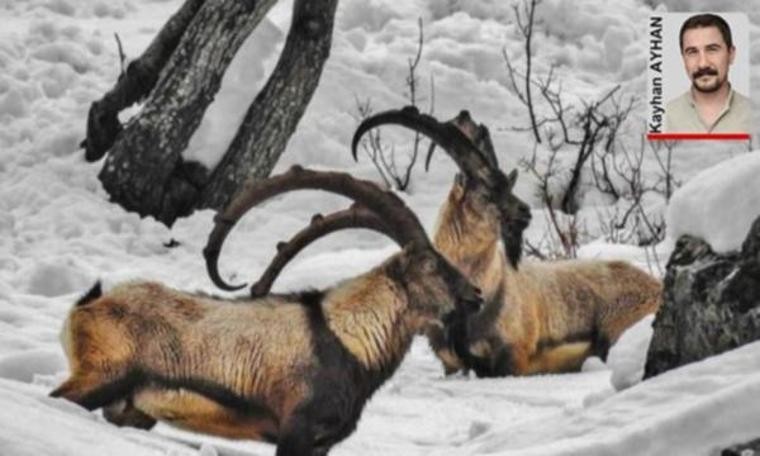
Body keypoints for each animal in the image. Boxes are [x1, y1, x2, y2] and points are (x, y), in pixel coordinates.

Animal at [50, 167, 480, 456]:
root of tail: (90, 304)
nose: (475, 295)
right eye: (431, 265)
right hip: (101, 376)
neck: (345, 336)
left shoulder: (321, 444)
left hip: (131, 408)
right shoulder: (295, 430)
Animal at [348, 107, 660, 378]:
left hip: (616, 328)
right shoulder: (450, 362)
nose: (525, 212)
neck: (490, 287)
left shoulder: (515, 357)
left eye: (508, 187)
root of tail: (656, 287)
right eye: (486, 193)